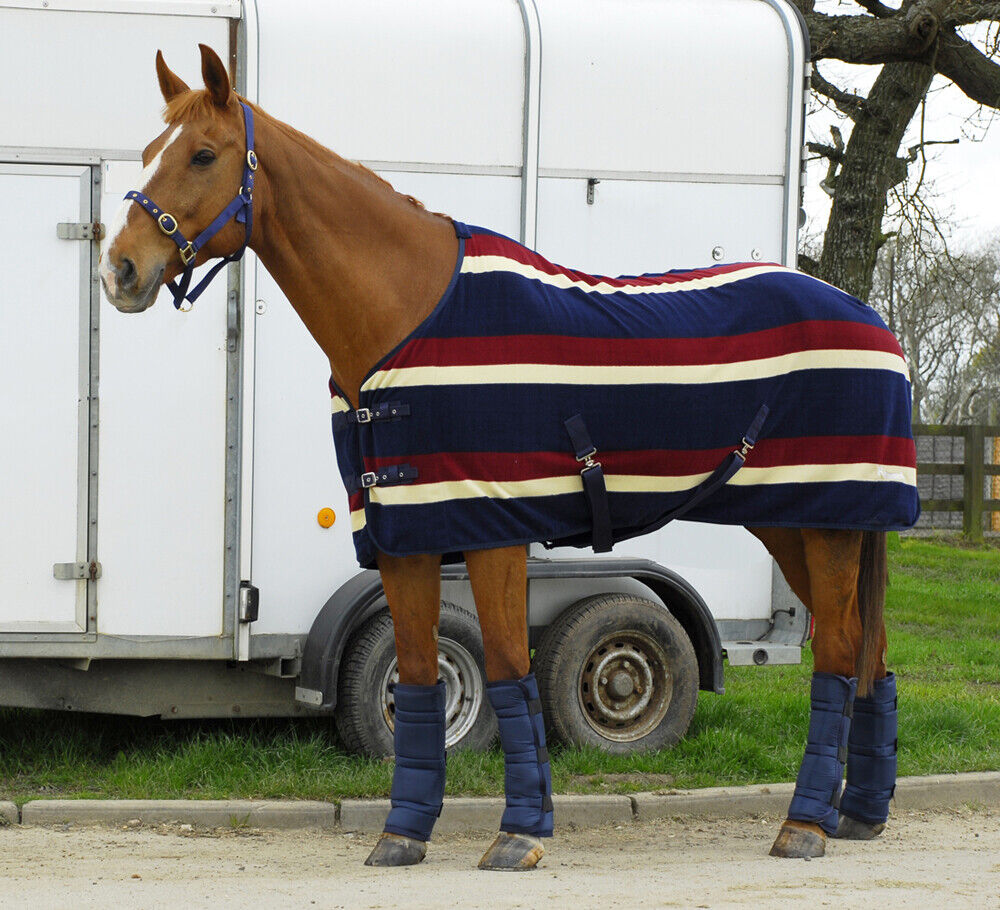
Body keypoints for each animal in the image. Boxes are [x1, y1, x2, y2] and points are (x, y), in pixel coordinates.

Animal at [101, 45, 911, 870]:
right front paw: (403, 834)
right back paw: (859, 817)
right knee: (871, 654)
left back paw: (805, 826)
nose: (121, 269)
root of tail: (871, 318)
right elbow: (418, 675)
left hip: (830, 523)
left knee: (839, 654)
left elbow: (508, 669)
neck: (408, 315)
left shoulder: (493, 528)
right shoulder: (404, 533)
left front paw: (520, 831)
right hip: (796, 521)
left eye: (203, 155)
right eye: (150, 149)